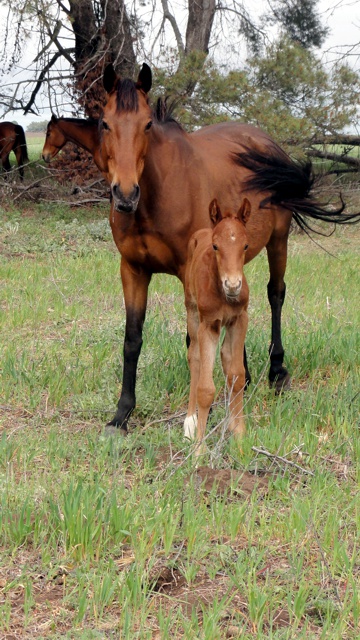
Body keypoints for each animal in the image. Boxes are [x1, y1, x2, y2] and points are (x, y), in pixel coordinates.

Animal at [184, 198, 252, 452]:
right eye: (215, 246)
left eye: (245, 245)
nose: (232, 285)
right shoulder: (209, 325)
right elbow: (205, 389)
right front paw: (198, 449)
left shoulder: (240, 319)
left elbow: (237, 376)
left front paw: (240, 435)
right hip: (192, 312)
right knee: (194, 356)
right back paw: (189, 422)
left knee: (225, 354)